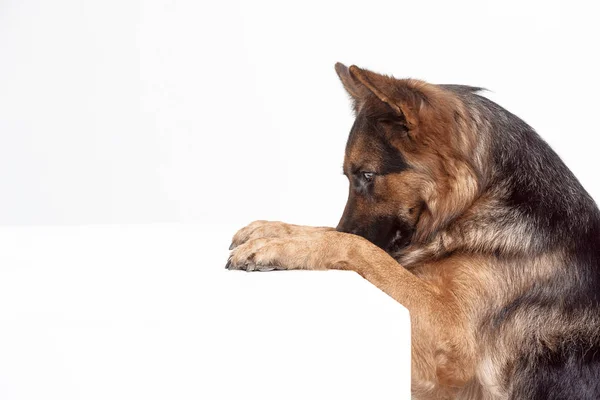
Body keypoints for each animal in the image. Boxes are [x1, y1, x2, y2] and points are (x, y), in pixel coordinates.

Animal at [224, 64, 600, 398]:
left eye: (367, 175)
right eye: (350, 176)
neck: (479, 201)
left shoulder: (448, 336)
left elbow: (357, 247)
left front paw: (277, 246)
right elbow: (339, 235)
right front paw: (270, 230)